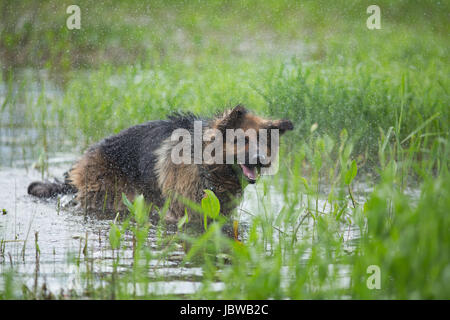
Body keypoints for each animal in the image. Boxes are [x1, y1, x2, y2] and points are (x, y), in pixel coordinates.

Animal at [29, 105, 296, 222]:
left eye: (264, 142)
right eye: (243, 140)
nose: (261, 160)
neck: (207, 166)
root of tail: (89, 153)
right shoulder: (181, 212)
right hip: (106, 197)